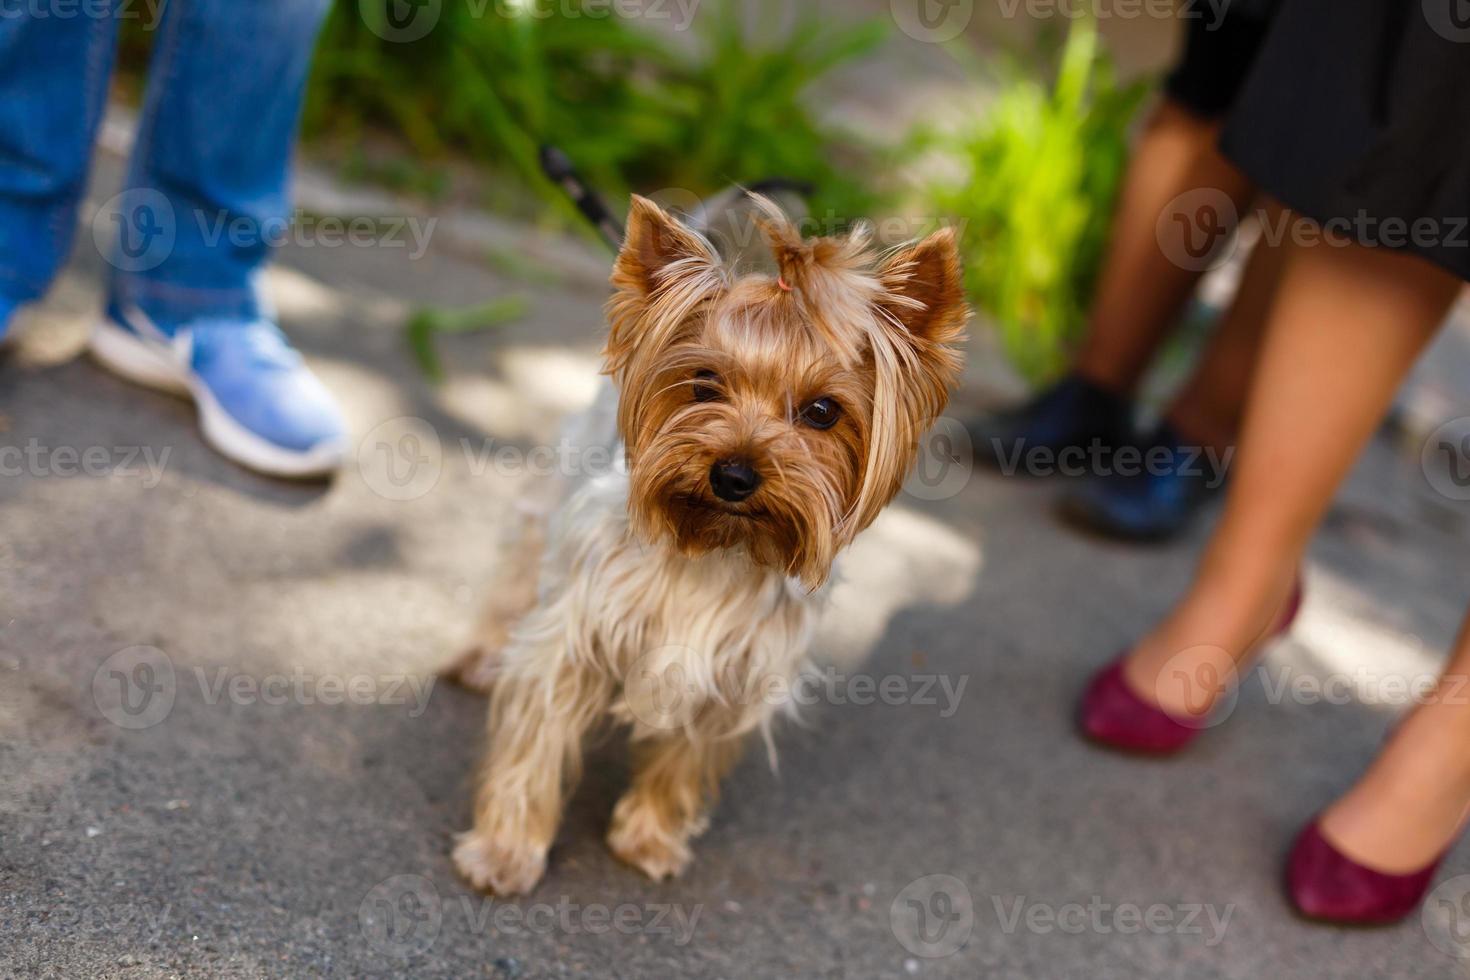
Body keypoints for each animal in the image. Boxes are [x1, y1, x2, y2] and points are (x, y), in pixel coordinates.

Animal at [452, 195, 970, 893]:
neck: (718, 549)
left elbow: (681, 763)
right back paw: (481, 658)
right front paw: (505, 851)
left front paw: (649, 837)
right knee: (519, 569)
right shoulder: (571, 639)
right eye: (703, 383)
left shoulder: (736, 675)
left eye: (823, 412)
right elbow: (533, 745)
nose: (734, 475)